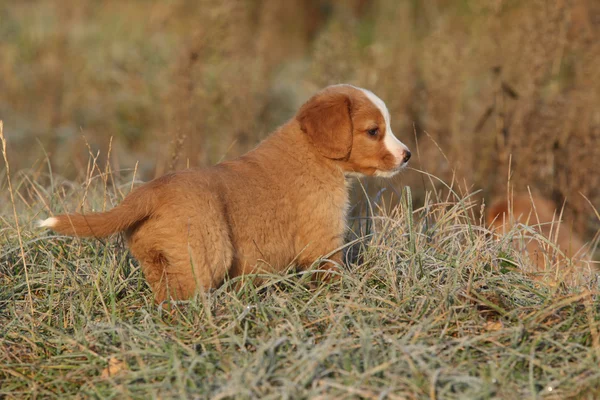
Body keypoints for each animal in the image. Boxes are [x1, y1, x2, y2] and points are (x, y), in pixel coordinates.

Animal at [38, 85, 412, 304]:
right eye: (374, 132)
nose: (407, 155)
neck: (312, 151)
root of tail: (149, 193)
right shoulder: (322, 244)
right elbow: (330, 277)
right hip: (207, 254)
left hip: (158, 259)